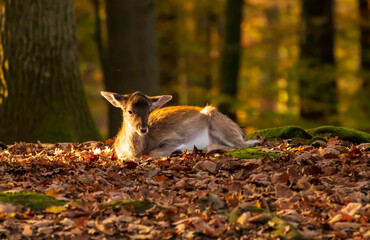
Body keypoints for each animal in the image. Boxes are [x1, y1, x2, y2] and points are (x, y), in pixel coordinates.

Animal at [99, 91, 258, 158]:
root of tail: (239, 130)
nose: (143, 129)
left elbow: (154, 153)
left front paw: (178, 150)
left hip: (219, 122)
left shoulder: (174, 138)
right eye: (130, 111)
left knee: (243, 145)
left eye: (149, 111)